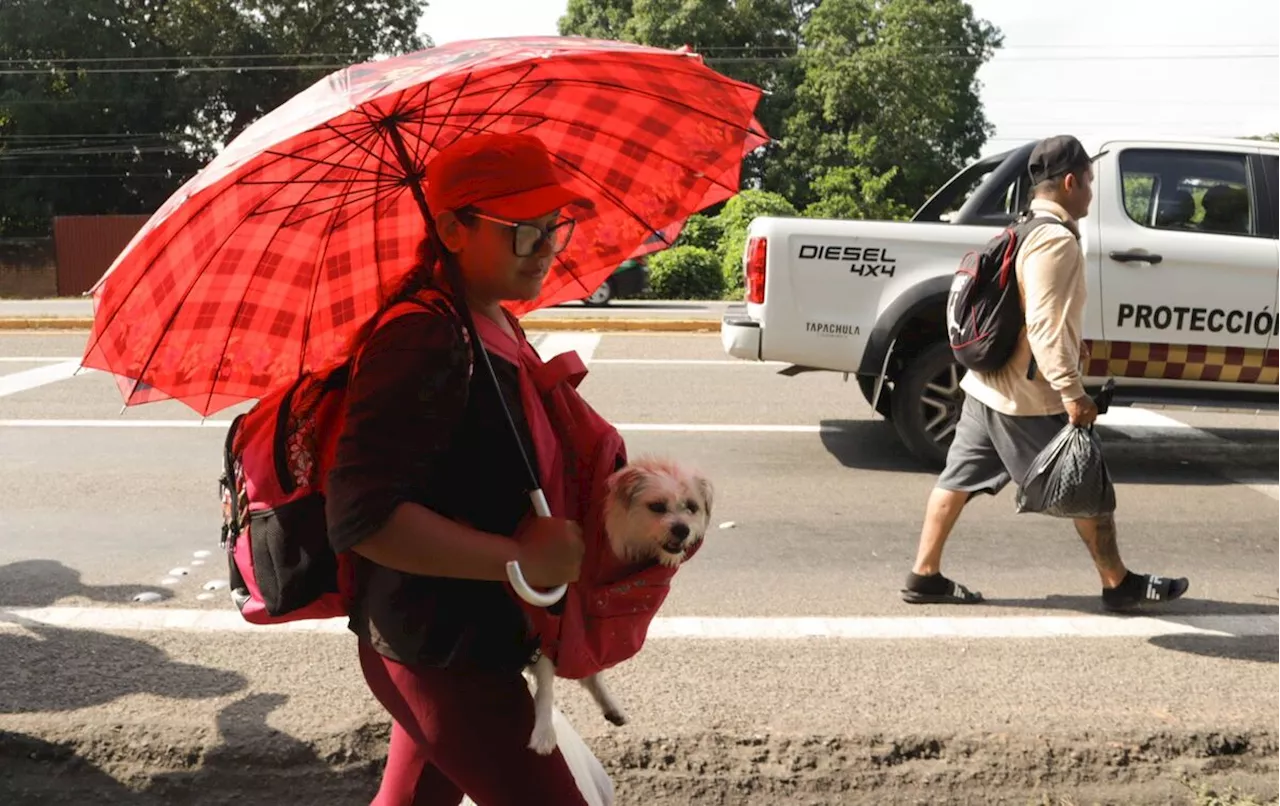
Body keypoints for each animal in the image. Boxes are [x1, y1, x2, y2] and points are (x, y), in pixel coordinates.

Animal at [524, 460, 716, 757]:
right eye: (657, 506)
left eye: (692, 507)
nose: (682, 529)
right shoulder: (548, 622)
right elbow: (546, 685)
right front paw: (544, 731)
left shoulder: (588, 625)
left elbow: (587, 667)